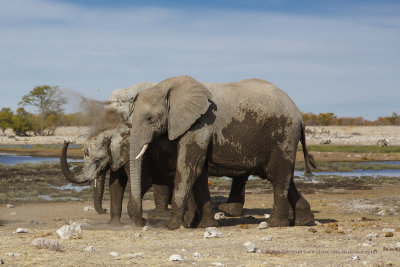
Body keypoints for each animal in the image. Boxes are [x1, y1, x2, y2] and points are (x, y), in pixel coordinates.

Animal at [128, 75, 316, 230]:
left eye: (149, 118)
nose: (141, 223)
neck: (167, 86)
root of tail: (299, 116)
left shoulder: (201, 124)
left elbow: (189, 168)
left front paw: (173, 226)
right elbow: (199, 173)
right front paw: (203, 225)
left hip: (283, 134)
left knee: (277, 174)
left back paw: (275, 224)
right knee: (281, 175)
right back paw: (303, 220)